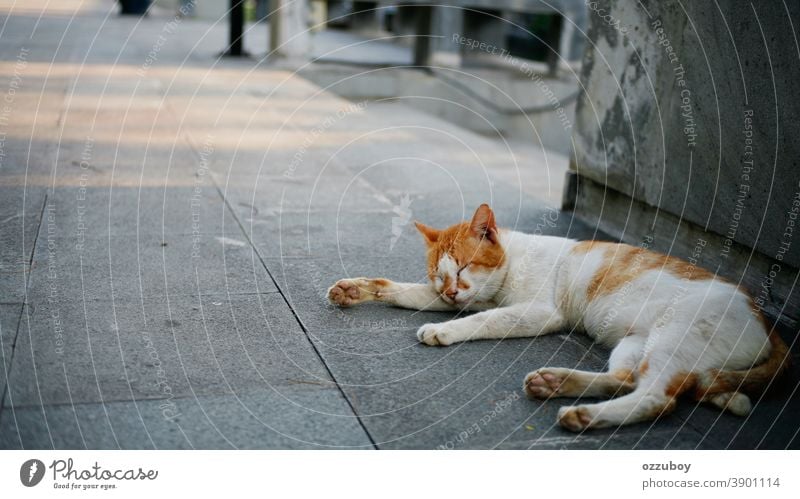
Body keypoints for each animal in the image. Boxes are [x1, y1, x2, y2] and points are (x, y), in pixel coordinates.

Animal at [328, 205, 792, 432]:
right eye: (438, 276)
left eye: (462, 267)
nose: (451, 291)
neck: (512, 264)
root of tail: (767, 323)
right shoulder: (458, 298)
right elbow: (401, 291)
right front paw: (356, 289)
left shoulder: (535, 312)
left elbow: (482, 321)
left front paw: (444, 329)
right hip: (637, 345)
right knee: (631, 380)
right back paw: (555, 382)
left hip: (671, 337)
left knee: (658, 398)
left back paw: (585, 416)